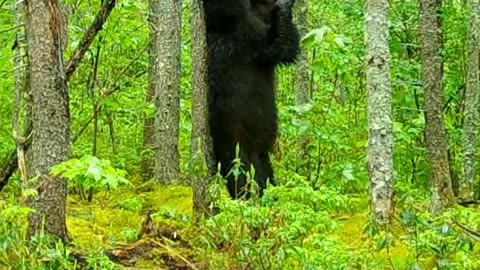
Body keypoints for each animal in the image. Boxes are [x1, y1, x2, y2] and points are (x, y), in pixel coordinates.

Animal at [203, 0, 300, 198]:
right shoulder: (244, 38)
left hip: (260, 155)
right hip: (234, 146)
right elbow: (278, 45)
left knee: (264, 173)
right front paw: (283, 8)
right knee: (240, 176)